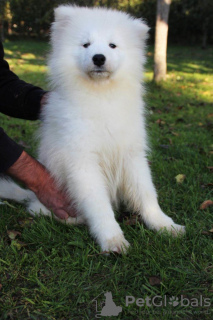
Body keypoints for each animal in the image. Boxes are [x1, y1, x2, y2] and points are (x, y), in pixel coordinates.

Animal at [0, 5, 185, 252]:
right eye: (86, 44)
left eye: (112, 45)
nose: (98, 58)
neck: (101, 96)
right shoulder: (83, 161)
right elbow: (98, 204)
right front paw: (112, 239)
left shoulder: (132, 155)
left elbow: (147, 194)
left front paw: (165, 225)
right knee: (39, 210)